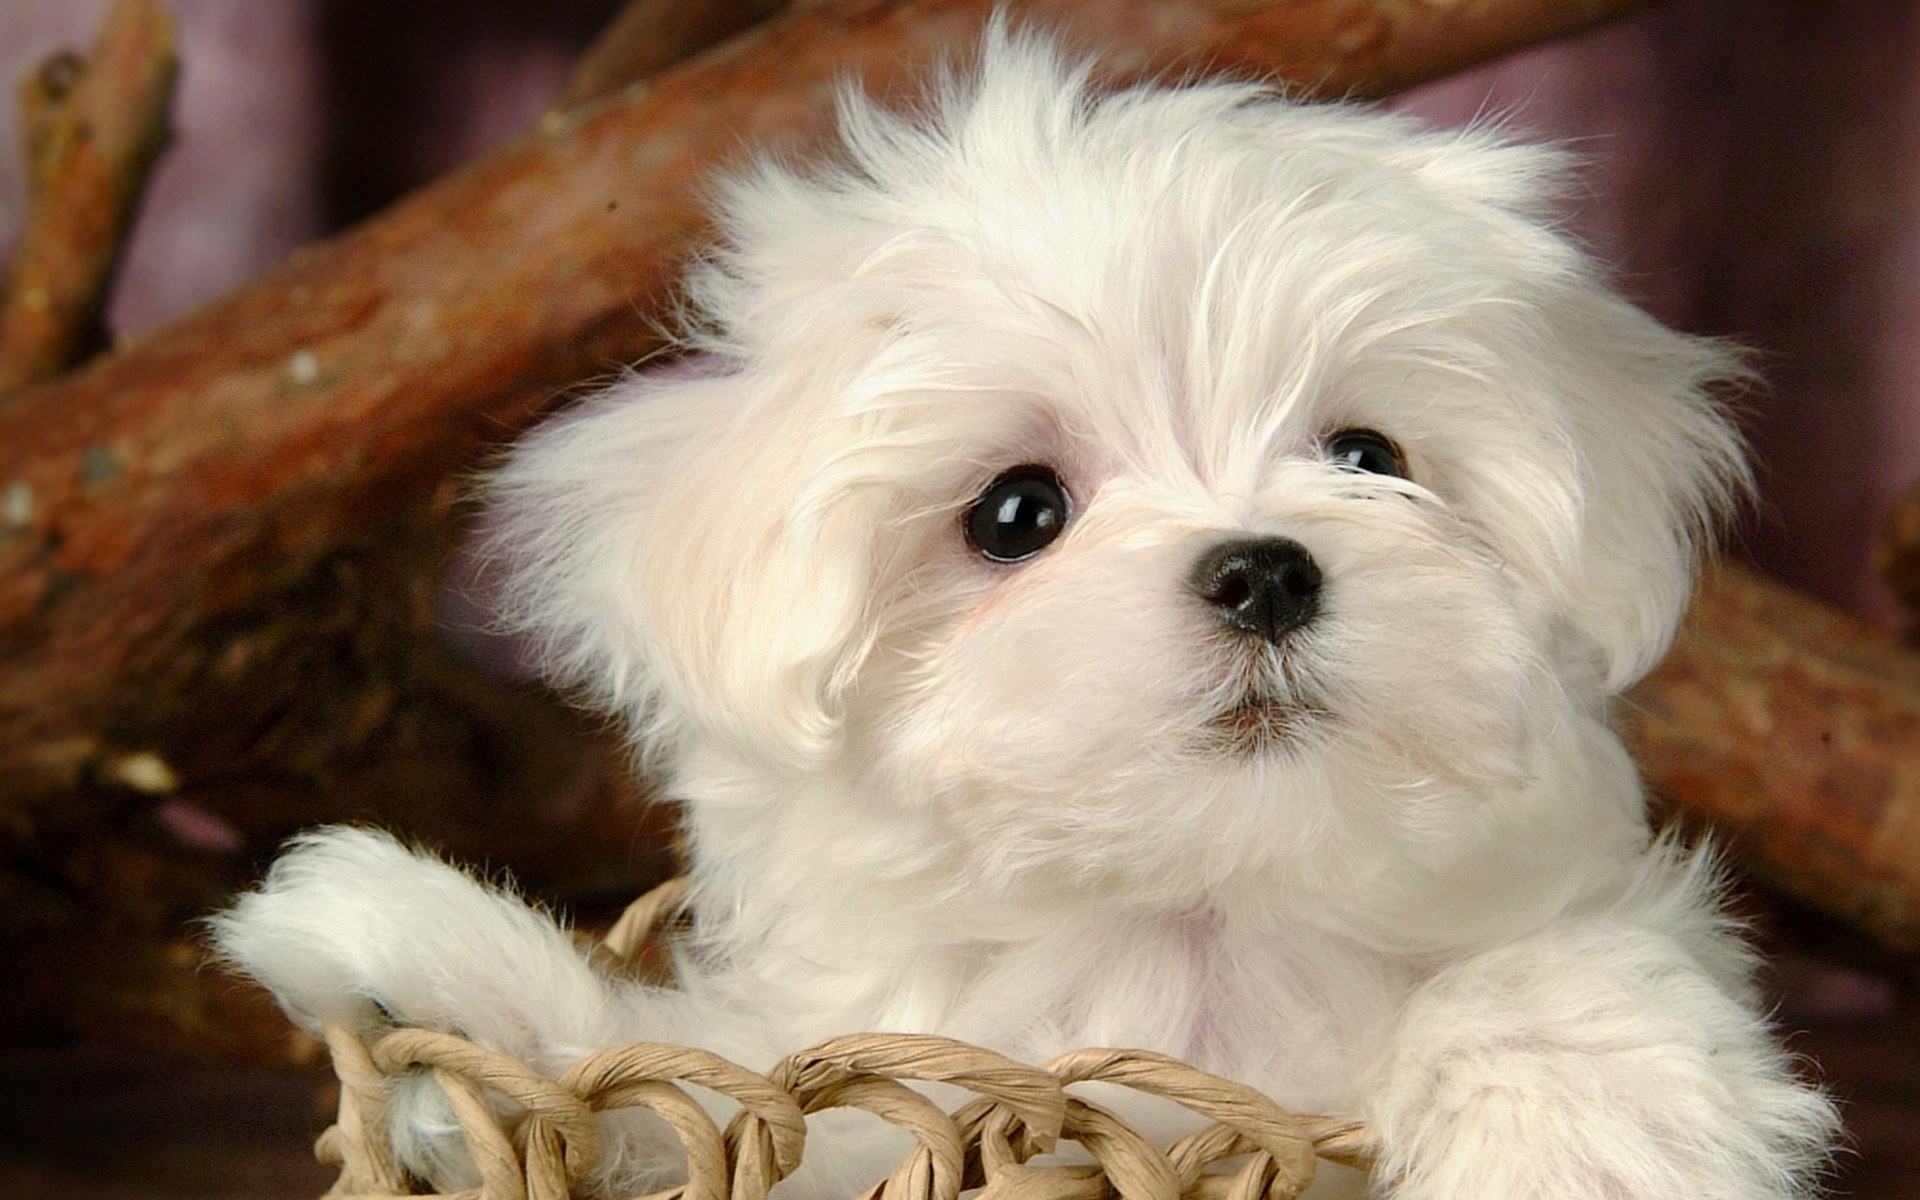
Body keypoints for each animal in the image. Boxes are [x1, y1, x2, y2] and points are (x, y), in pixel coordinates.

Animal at [210, 28, 1827, 1198]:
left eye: (1372, 458)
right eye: (1016, 515)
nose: (1265, 568)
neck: (1190, 932)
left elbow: (1569, 968)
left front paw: (1586, 1133)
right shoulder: (864, 1094)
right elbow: (671, 1085)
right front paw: (424, 958)